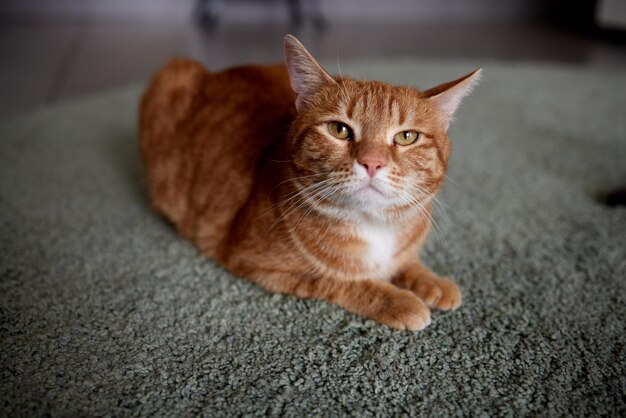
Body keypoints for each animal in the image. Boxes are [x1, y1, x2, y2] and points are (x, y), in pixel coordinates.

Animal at [139, 35, 478, 330]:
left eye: (406, 136)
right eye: (339, 130)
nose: (372, 162)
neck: (373, 227)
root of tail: (215, 71)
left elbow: (406, 261)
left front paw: (431, 281)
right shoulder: (262, 267)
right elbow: (344, 282)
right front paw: (399, 300)